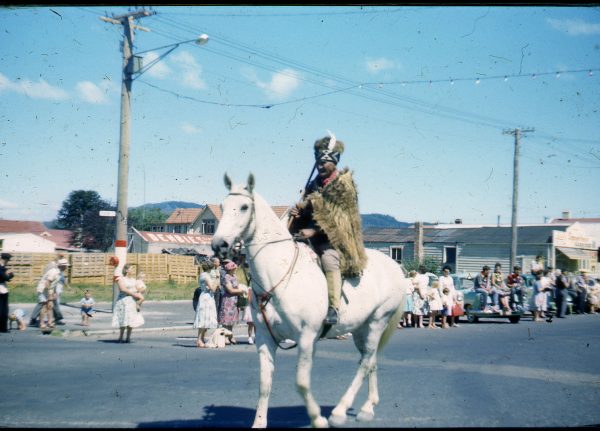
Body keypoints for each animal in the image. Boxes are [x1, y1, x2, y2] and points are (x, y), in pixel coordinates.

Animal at [213, 173, 410, 428]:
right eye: (222, 206)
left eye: (245, 207)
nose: (218, 245)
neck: (279, 274)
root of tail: (395, 267)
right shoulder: (265, 339)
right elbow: (264, 384)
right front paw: (259, 423)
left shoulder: (307, 339)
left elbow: (301, 382)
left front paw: (318, 418)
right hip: (361, 329)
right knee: (370, 360)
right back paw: (368, 407)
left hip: (378, 321)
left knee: (366, 362)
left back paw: (339, 412)